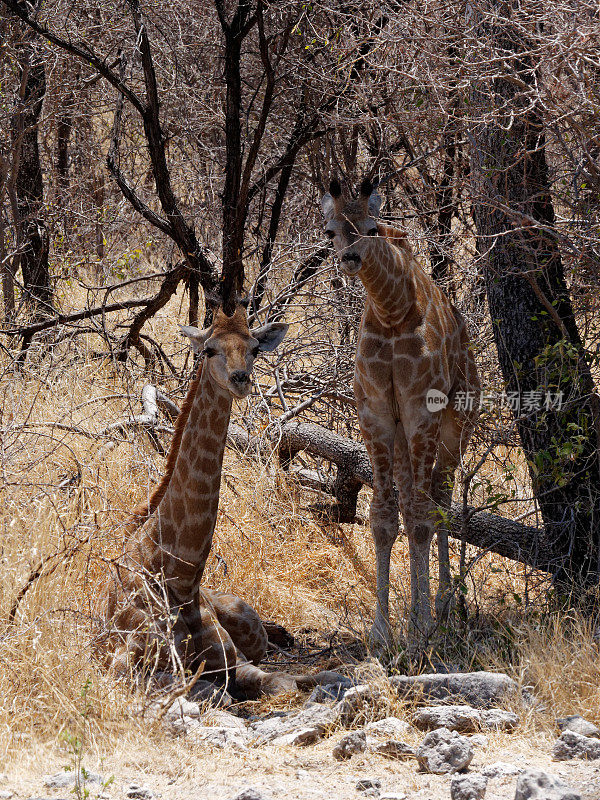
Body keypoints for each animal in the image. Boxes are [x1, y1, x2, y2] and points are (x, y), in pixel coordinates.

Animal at [103, 304, 298, 696]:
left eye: (255, 348)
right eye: (209, 349)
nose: (240, 379)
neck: (182, 577)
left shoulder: (233, 662)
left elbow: (283, 682)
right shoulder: (124, 669)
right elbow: (209, 691)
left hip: (247, 621)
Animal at [322, 180, 480, 644]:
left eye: (372, 227)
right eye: (331, 231)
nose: (350, 259)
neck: (390, 310)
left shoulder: (421, 411)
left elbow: (422, 517)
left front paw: (422, 625)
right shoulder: (375, 414)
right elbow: (383, 518)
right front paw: (382, 630)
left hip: (458, 422)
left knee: (440, 498)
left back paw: (441, 604)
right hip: (405, 438)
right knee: (413, 501)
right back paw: (418, 608)